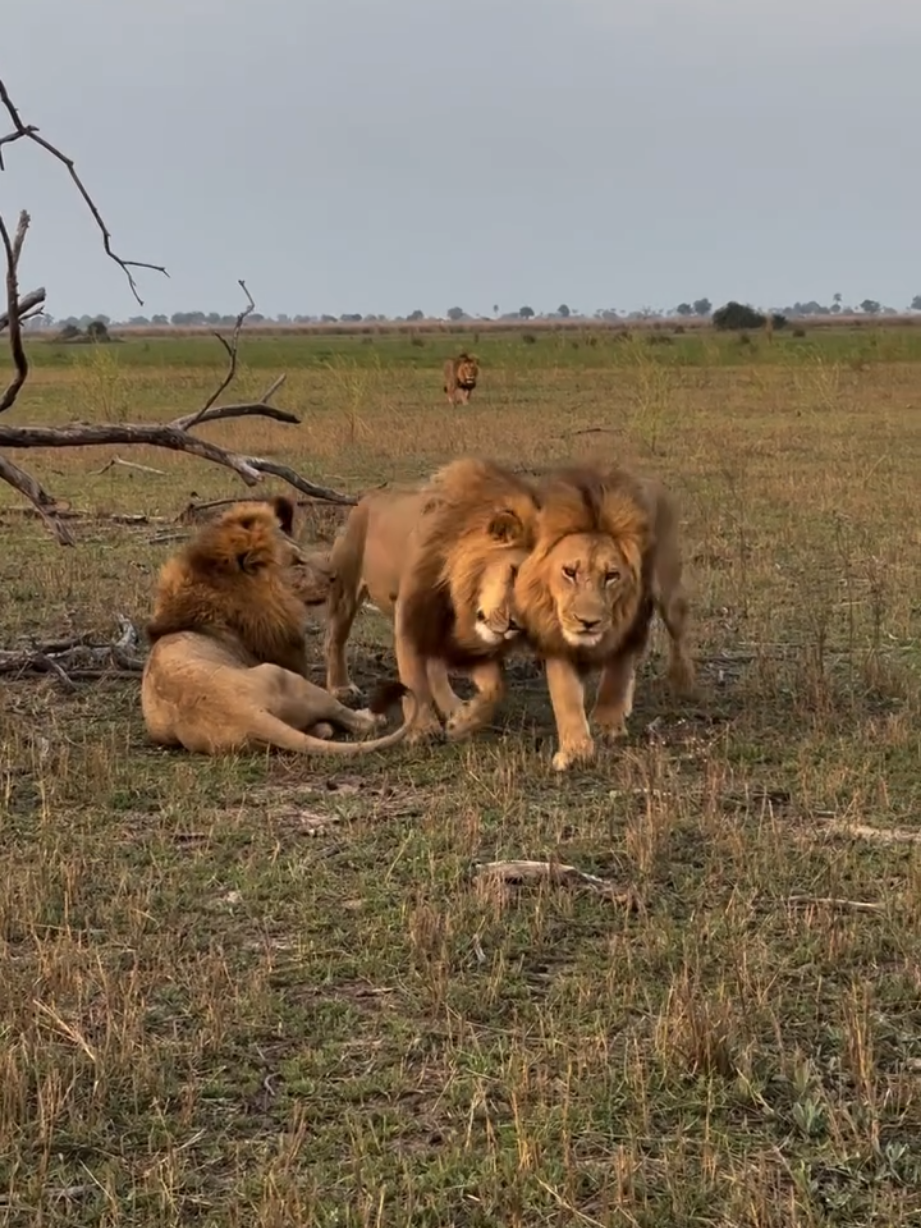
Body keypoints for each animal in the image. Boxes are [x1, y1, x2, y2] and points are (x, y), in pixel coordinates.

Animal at [141, 497, 418, 756]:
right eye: (296, 563)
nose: (335, 577)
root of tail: (249, 714)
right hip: (287, 677)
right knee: (353, 720)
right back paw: (370, 716)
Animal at [323, 456, 540, 743]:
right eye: (514, 572)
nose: (518, 624)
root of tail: (366, 498)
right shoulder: (409, 612)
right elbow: (415, 680)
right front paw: (423, 729)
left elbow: (495, 687)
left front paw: (463, 721)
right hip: (346, 590)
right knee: (335, 638)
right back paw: (341, 688)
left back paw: (452, 705)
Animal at [513, 463, 695, 771]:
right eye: (569, 572)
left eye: (611, 575)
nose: (588, 622)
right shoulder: (556, 637)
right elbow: (565, 693)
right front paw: (575, 749)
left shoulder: (628, 624)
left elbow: (616, 673)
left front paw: (606, 723)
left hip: (668, 589)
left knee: (678, 631)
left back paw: (682, 681)